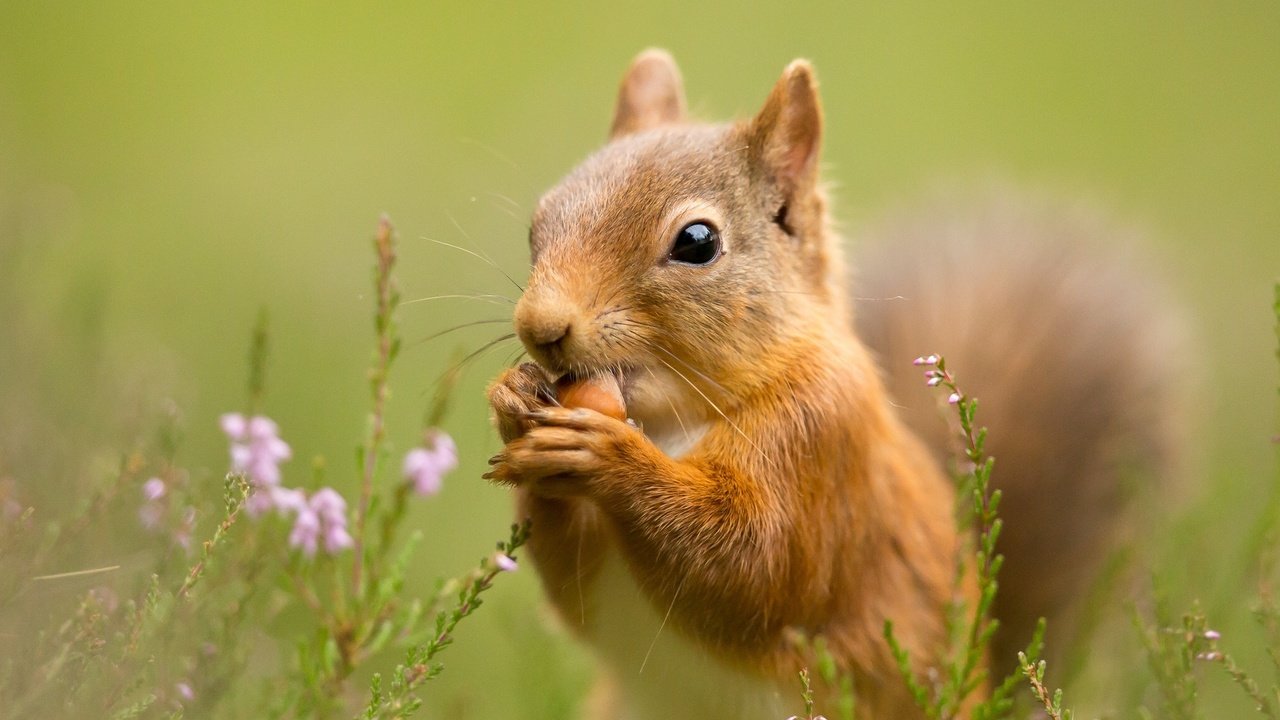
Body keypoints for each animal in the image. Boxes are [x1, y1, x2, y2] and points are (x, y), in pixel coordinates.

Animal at [486, 47, 1177, 712]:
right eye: (538, 222)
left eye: (697, 242)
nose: (540, 327)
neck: (672, 420)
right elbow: (576, 591)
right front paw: (514, 402)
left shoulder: (819, 441)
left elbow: (751, 565)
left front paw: (607, 455)